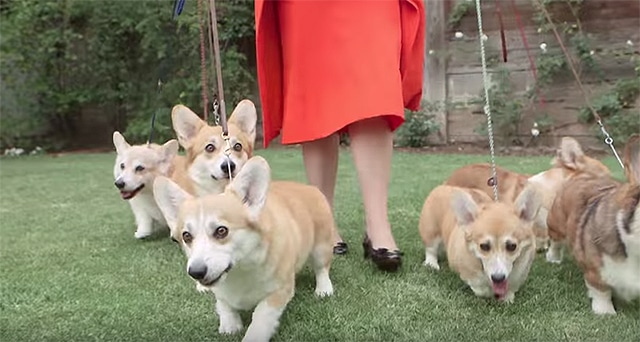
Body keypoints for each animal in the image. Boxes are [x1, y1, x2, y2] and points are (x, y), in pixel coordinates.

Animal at [153, 156, 338, 340]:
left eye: (221, 230)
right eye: (186, 236)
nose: (195, 273)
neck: (240, 269)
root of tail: (309, 187)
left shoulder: (279, 292)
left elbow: (261, 317)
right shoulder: (221, 293)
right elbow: (224, 305)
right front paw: (230, 326)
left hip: (321, 247)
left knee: (322, 268)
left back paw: (323, 289)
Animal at [544, 134, 640, 316]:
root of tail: (582, 174)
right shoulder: (596, 273)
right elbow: (601, 291)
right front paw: (605, 312)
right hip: (556, 225)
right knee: (556, 243)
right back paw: (553, 258)